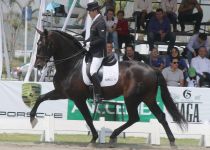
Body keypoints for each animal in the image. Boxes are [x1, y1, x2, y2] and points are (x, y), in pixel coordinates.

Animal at [31, 28, 187, 147]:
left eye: (43, 45)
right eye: (37, 44)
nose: (37, 65)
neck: (72, 65)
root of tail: (152, 69)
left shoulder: (77, 98)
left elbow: (88, 118)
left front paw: (94, 138)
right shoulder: (61, 93)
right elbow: (41, 97)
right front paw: (32, 119)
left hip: (131, 97)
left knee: (134, 117)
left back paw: (113, 136)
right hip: (148, 98)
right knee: (160, 116)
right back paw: (172, 141)